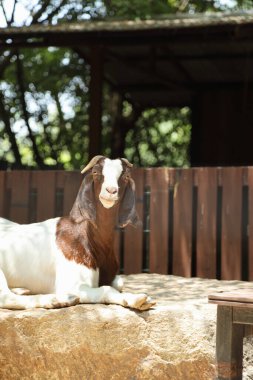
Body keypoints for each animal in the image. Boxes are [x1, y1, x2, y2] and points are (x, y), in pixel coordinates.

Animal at [0, 156, 154, 310]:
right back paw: (58, 300)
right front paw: (137, 299)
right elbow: (106, 289)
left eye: (126, 176)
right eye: (96, 172)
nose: (111, 190)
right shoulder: (71, 284)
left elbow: (119, 283)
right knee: (6, 298)